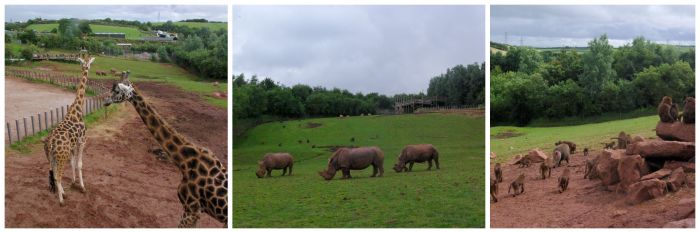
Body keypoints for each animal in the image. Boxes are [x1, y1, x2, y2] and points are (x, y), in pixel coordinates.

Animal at [43, 53, 94, 206]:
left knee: (53, 174)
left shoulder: (73, 145)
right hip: (61, 156)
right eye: (88, 63)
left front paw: (73, 182)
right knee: (57, 176)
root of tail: (50, 144)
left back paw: (63, 193)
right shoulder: (82, 141)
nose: (87, 67)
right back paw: (61, 200)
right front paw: (82, 187)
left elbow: (72, 163)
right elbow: (79, 164)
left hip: (50, 157)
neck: (77, 110)